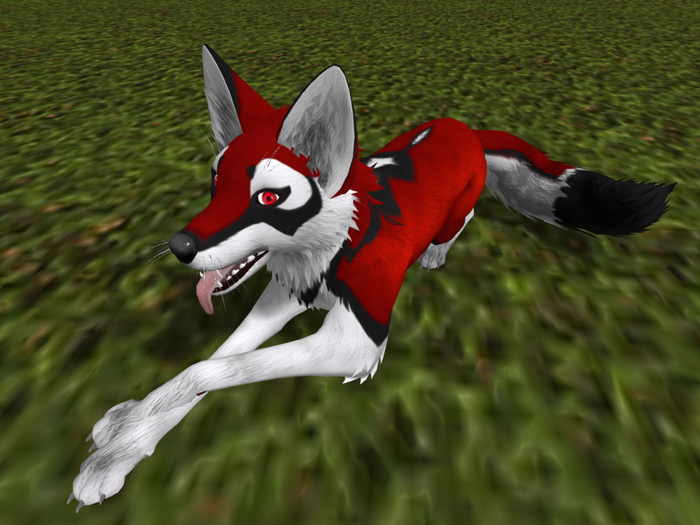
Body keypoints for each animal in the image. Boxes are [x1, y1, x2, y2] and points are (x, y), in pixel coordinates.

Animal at [69, 44, 676, 510]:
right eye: (215, 184)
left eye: (269, 197)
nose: (179, 247)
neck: (333, 246)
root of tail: (463, 127)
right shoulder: (283, 299)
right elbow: (209, 366)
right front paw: (128, 434)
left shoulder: (357, 340)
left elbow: (208, 369)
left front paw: (119, 446)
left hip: (459, 208)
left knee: (462, 221)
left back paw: (435, 253)